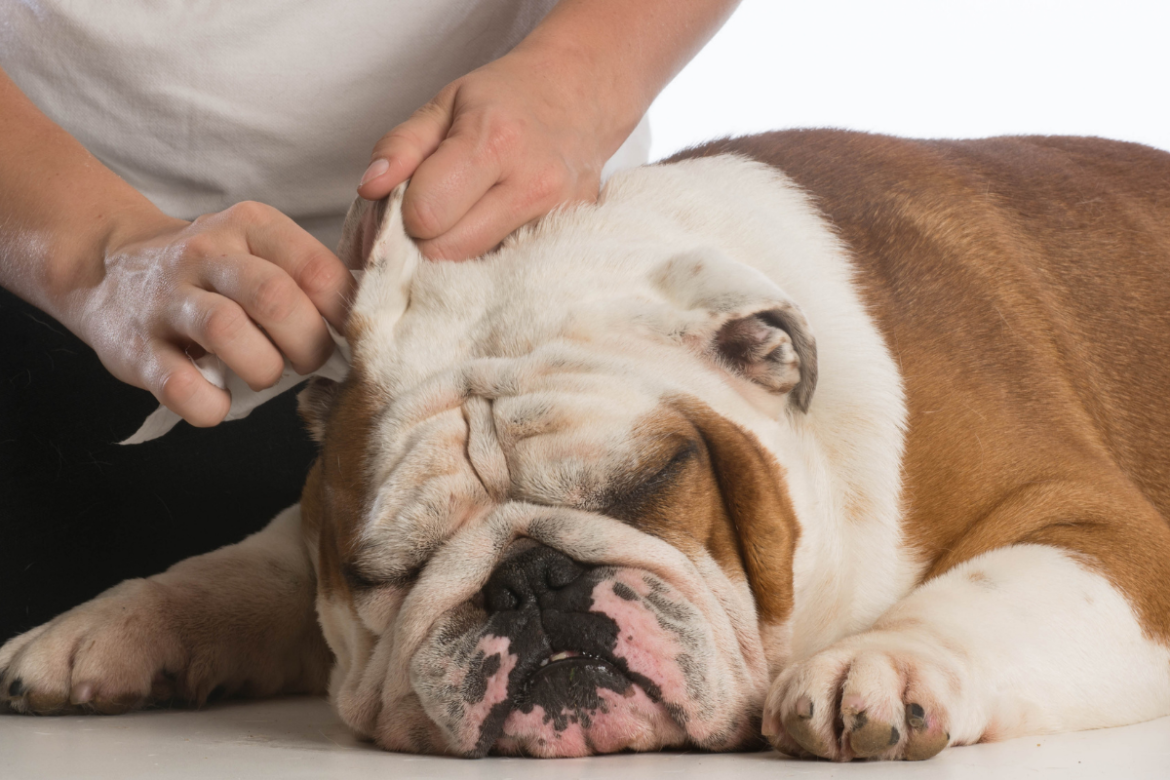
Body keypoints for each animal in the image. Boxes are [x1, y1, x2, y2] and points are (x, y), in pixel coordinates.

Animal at [2, 129, 1170, 762]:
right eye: (388, 569)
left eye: (655, 479)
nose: (531, 581)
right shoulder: (312, 531)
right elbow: (246, 568)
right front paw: (108, 627)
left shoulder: (1107, 535)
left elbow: (991, 588)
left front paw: (877, 664)